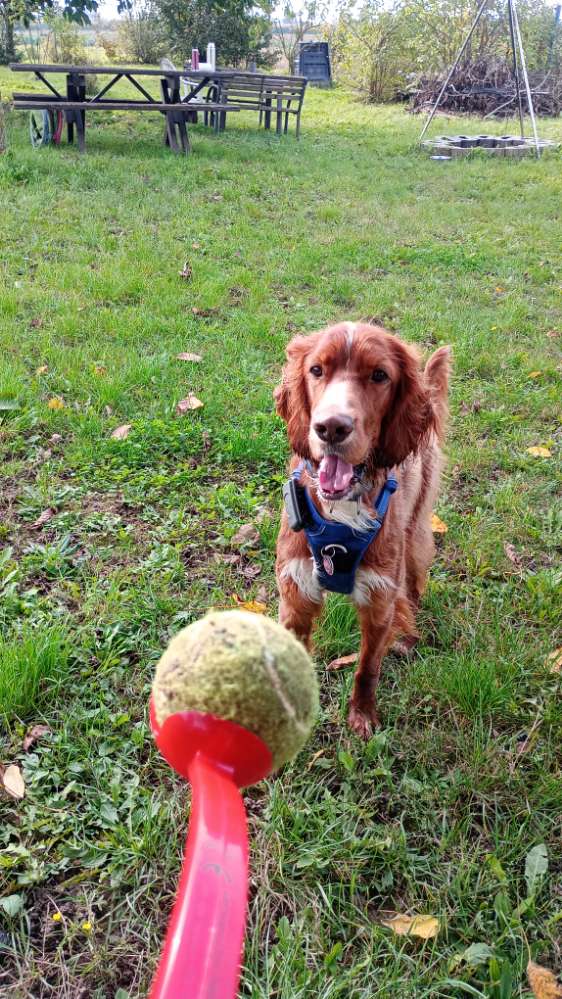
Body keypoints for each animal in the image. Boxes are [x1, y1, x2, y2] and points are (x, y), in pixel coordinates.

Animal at [274, 324, 448, 740]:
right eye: (316, 369)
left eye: (380, 375)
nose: (331, 427)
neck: (340, 516)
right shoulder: (295, 594)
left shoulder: (380, 602)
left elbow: (368, 667)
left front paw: (362, 715)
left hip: (415, 536)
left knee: (413, 588)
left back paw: (408, 637)